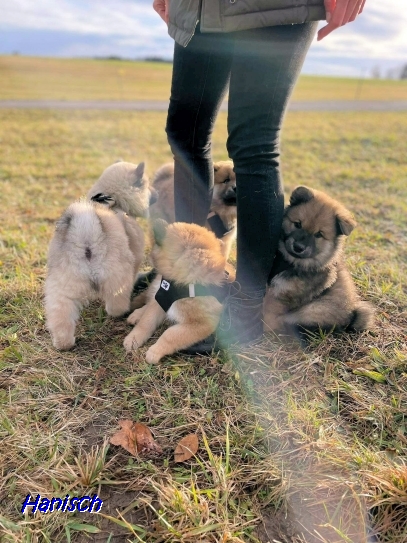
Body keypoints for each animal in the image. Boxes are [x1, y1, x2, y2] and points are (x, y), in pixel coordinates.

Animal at [44, 162, 152, 350]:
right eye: (147, 186)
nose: (156, 196)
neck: (113, 201)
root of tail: (86, 224)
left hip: (63, 285)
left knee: (60, 317)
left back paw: (64, 343)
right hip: (117, 276)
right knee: (116, 306)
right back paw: (123, 310)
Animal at [124, 219, 233, 364]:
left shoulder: (201, 325)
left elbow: (171, 334)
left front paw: (155, 351)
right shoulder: (161, 300)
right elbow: (146, 322)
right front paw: (133, 338)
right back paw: (137, 314)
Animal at [264, 187, 376, 340]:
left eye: (318, 234)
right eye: (297, 224)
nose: (298, 247)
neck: (291, 263)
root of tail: (351, 317)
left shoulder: (282, 297)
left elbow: (268, 312)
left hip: (313, 310)